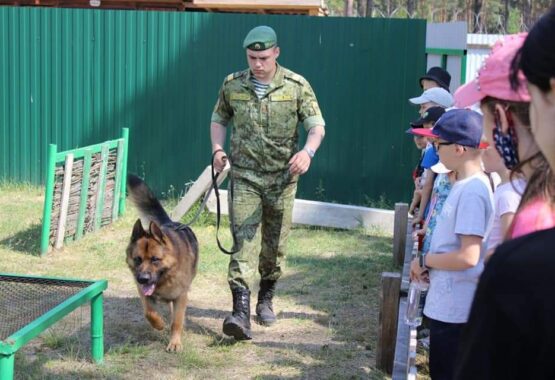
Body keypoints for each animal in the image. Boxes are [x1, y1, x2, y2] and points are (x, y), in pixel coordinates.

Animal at [125, 175, 199, 354]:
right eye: (138, 259)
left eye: (155, 259)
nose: (143, 279)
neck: (165, 278)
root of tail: (171, 222)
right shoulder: (144, 294)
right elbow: (149, 313)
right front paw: (159, 324)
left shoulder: (181, 296)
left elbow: (177, 321)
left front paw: (175, 342)